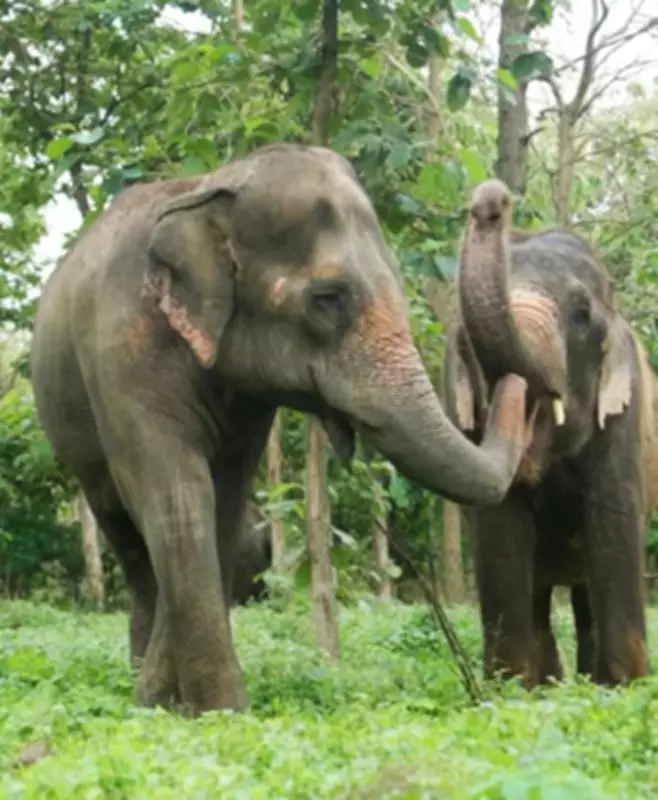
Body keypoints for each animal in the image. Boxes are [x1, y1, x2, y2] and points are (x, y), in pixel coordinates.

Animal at [30, 142, 534, 717]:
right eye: (328, 298)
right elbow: (178, 494)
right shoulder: (122, 350)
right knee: (130, 544)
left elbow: (223, 506)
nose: (495, 198)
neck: (215, 185)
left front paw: (178, 702)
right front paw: (212, 711)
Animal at [443, 177, 658, 690]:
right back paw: (553, 684)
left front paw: (629, 689)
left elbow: (613, 528)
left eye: (581, 313)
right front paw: (509, 694)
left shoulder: (624, 418)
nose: (492, 199)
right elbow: (501, 534)